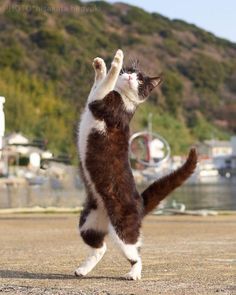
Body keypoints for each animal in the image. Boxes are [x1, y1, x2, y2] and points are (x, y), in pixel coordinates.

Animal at [75, 49, 197, 280]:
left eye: (140, 80)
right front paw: (100, 67)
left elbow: (106, 83)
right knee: (100, 247)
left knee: (135, 252)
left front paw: (115, 60)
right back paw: (83, 269)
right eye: (131, 72)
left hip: (122, 229)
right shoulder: (96, 98)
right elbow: (100, 84)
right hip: (87, 222)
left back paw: (133, 273)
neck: (122, 97)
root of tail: (139, 203)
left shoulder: (102, 104)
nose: (131, 77)